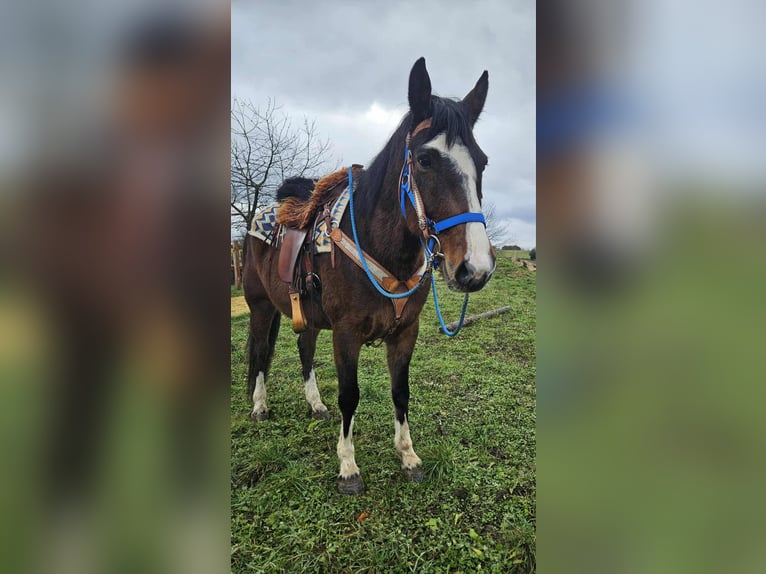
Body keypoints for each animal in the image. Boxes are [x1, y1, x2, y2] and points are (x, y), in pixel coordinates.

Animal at [242, 57, 496, 494]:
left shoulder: (406, 331)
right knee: (260, 352)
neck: (381, 248)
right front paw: (348, 466)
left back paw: (315, 404)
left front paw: (408, 456)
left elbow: (401, 391)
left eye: (481, 162)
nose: (475, 268)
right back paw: (260, 406)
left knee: (304, 350)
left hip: (307, 315)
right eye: (425, 160)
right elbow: (350, 394)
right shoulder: (346, 333)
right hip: (260, 307)